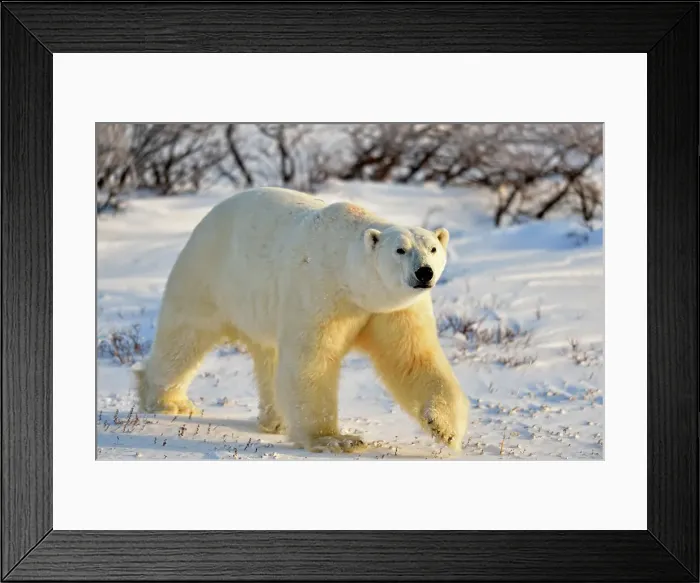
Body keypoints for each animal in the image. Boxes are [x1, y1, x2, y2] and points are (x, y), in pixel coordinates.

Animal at [134, 186, 469, 453]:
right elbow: (312, 360)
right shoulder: (321, 292)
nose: (424, 272)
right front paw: (335, 439)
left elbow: (413, 358)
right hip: (208, 276)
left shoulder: (392, 310)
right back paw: (169, 401)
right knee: (185, 336)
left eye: (433, 248)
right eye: (401, 249)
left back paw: (276, 421)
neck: (351, 278)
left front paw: (445, 428)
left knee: (268, 357)